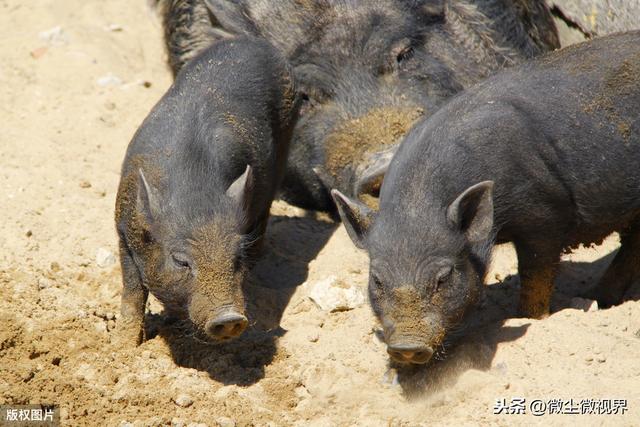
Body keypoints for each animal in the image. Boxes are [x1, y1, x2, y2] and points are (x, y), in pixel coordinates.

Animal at [114, 36, 300, 346]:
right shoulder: (122, 230)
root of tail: (254, 42)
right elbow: (132, 292)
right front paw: (128, 346)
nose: (230, 318)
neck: (195, 197)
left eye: (236, 258)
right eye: (181, 261)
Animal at [332, 30, 636, 364]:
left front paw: (530, 316)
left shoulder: (545, 216)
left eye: (443, 277)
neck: (418, 202)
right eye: (377, 280)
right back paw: (598, 298)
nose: (406, 347)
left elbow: (535, 275)